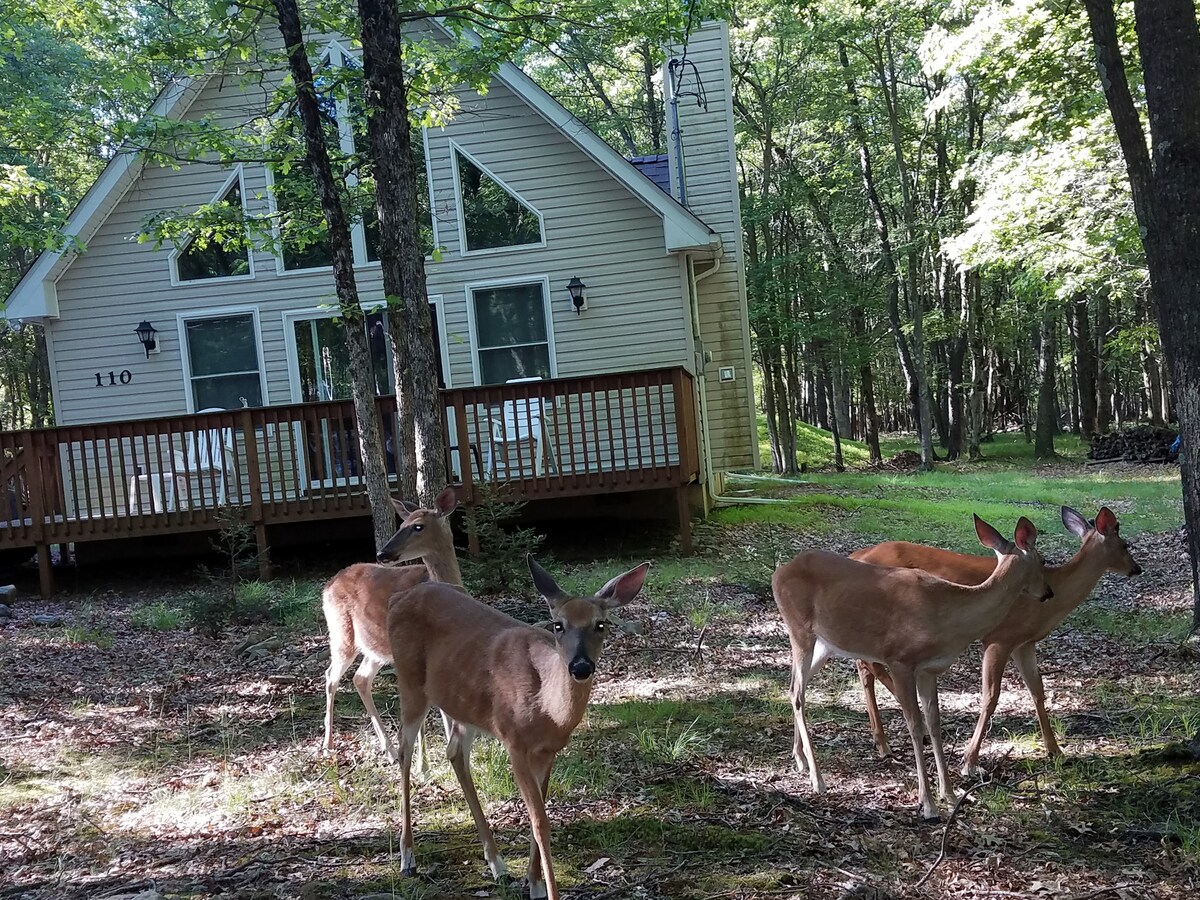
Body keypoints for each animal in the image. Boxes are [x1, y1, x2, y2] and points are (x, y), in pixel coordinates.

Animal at [321, 487, 460, 777]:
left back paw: (390, 751)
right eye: (401, 525)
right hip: (342, 634)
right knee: (331, 677)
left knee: (360, 679)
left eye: (417, 526)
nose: (383, 553)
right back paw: (328, 746)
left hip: (375, 648)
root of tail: (327, 585)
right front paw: (422, 766)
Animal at [384, 556, 648, 900]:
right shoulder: (514, 742)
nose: (580, 666)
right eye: (558, 625)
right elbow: (539, 822)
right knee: (404, 751)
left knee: (454, 751)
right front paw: (547, 891)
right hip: (410, 682)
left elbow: (541, 812)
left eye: (601, 624)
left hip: (463, 704)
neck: (547, 707)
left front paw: (533, 884)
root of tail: (396, 599)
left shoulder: (548, 751)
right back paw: (407, 857)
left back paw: (497, 864)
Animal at [768, 513, 1051, 825]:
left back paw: (801, 760)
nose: (1048, 593)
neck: (949, 615)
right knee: (797, 692)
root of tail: (779, 571)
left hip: (825, 643)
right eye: (1043, 560)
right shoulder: (899, 659)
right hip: (799, 629)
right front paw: (928, 803)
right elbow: (915, 725)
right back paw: (818, 779)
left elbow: (934, 722)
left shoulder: (929, 670)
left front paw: (950, 794)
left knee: (795, 686)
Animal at [854, 508, 1142, 777]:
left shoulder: (1024, 642)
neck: (1052, 601)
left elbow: (1037, 691)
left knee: (865, 665)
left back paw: (883, 742)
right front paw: (969, 761)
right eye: (1125, 545)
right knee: (869, 663)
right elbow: (991, 697)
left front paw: (1055, 750)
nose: (1136, 569)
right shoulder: (999, 638)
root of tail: (857, 554)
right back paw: (908, 733)